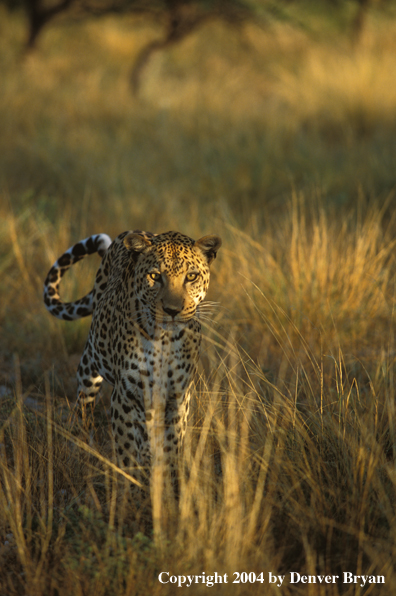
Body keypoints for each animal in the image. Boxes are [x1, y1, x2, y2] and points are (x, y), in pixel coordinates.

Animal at [44, 228, 221, 488]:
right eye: (155, 276)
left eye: (191, 276)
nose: (172, 310)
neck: (164, 341)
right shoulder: (126, 396)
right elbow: (128, 451)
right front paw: (132, 487)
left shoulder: (178, 398)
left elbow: (171, 448)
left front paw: (167, 485)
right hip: (91, 363)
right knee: (83, 406)